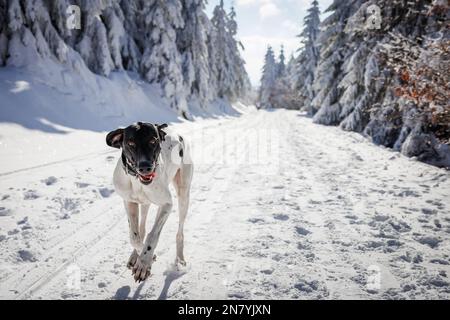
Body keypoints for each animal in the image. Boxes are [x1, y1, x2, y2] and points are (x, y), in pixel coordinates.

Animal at [106, 122, 192, 282]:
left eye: (153, 141)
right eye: (131, 143)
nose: (145, 166)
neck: (137, 181)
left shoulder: (166, 205)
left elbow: (152, 236)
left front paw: (144, 263)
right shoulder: (129, 202)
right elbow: (134, 236)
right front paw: (143, 257)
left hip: (183, 194)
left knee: (180, 232)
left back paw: (179, 259)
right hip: (144, 203)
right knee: (141, 229)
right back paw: (135, 256)